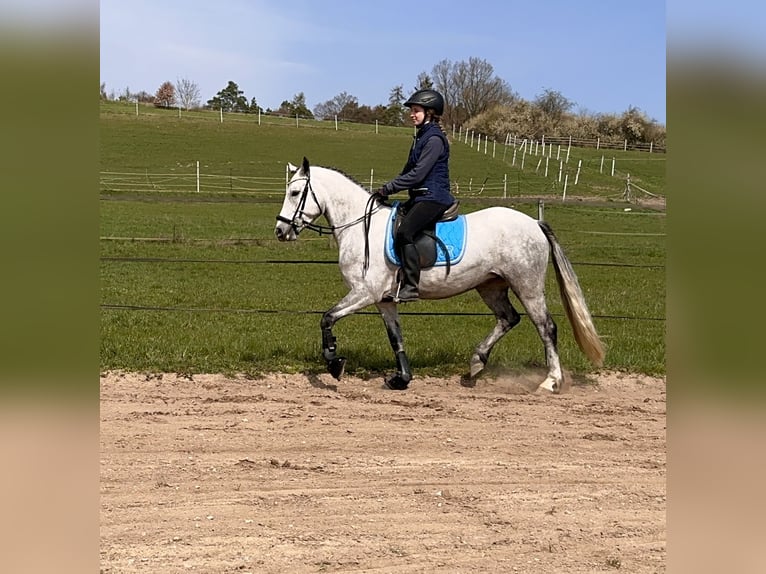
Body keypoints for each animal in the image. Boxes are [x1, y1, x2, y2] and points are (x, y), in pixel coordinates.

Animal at [276, 155, 608, 394]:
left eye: (295, 192)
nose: (280, 231)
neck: (360, 226)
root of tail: (534, 223)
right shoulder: (384, 300)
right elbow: (395, 336)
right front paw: (402, 379)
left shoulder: (364, 293)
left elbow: (327, 317)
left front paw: (335, 363)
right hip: (490, 286)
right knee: (508, 318)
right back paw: (475, 365)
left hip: (526, 284)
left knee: (546, 327)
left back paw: (550, 382)